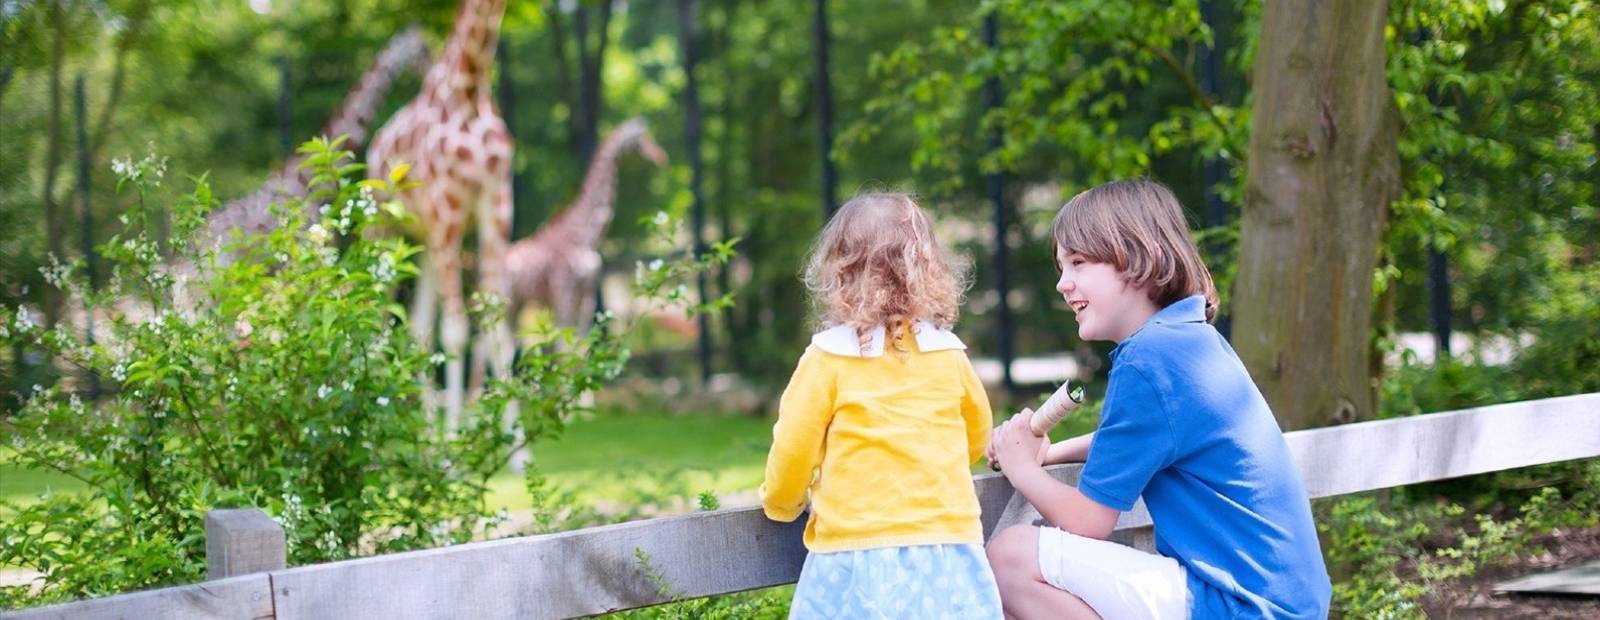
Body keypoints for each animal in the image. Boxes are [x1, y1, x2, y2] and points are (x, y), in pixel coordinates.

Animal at [364, 0, 508, 425]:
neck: (470, 88)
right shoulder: (449, 212)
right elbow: (457, 332)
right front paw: (458, 438)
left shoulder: (496, 205)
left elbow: (496, 327)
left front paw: (516, 439)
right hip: (384, 231)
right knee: (375, 316)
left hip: (425, 242)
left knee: (418, 328)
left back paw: (427, 433)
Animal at [505, 119, 668, 337]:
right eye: (640, 139)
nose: (661, 156)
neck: (587, 237)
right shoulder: (563, 291)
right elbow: (563, 339)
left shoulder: (588, 291)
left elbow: (582, 338)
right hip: (508, 298)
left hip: (519, 303)